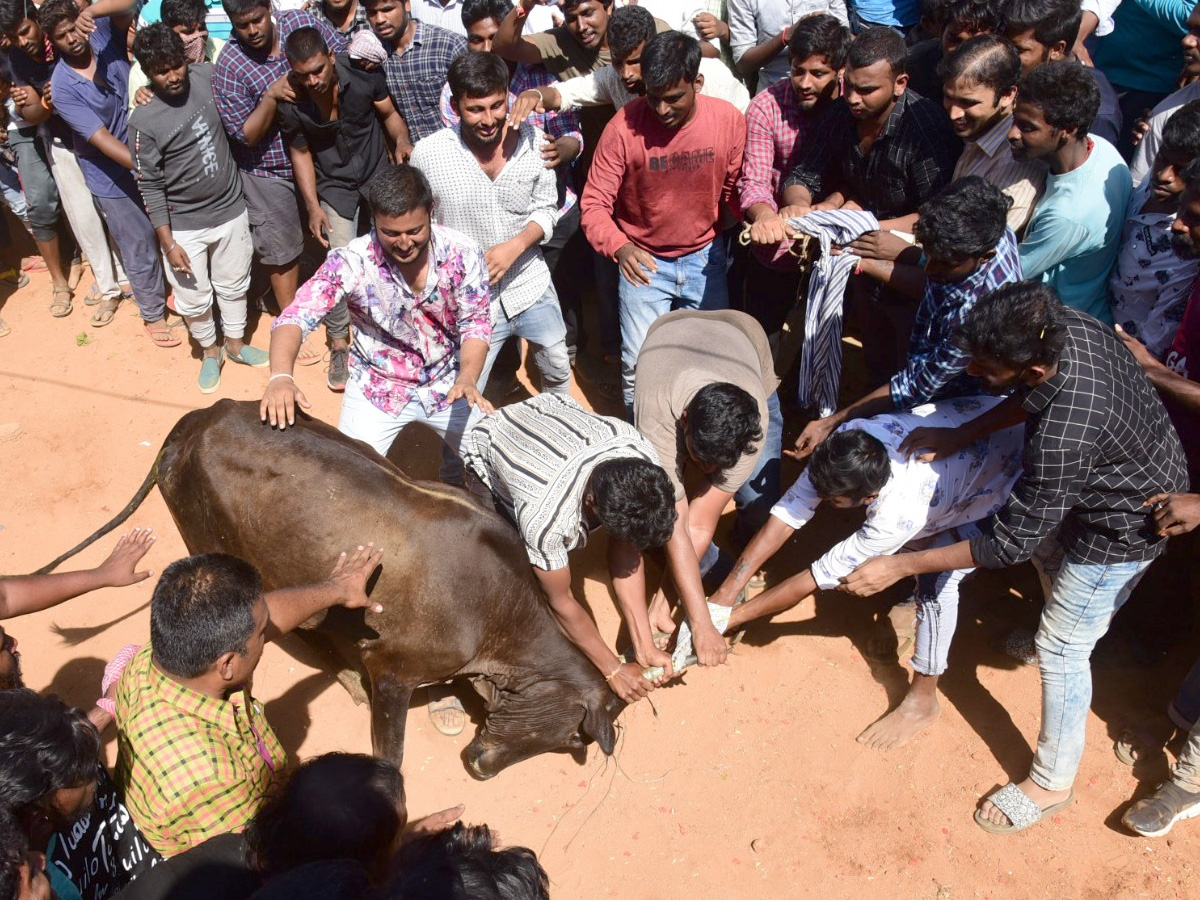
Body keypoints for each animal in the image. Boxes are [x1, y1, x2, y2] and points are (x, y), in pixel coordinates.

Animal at [37, 398, 619, 777]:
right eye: (574, 734)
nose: (479, 768)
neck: (496, 613)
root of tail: (192, 424)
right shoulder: (393, 671)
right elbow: (391, 754)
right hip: (214, 547)